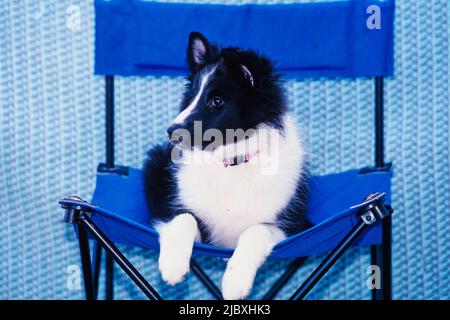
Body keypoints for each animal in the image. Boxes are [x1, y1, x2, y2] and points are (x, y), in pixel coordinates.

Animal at [145, 32, 310, 300]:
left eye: (217, 101)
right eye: (192, 96)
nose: (171, 132)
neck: (230, 162)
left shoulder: (293, 227)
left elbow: (255, 232)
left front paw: (235, 281)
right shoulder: (186, 219)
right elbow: (184, 218)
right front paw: (172, 265)